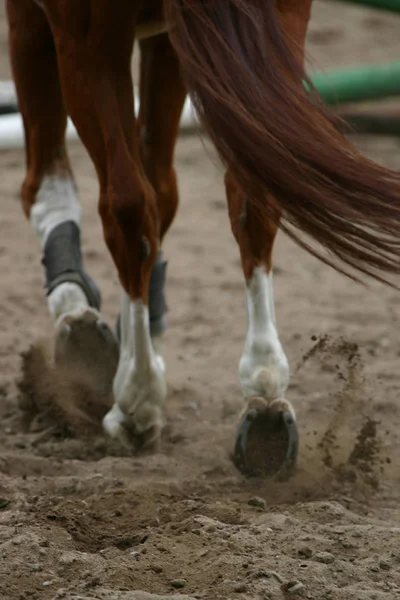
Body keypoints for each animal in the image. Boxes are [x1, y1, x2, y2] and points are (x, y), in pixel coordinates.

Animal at [5, 0, 400, 478]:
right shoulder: (169, 43)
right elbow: (163, 189)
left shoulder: (31, 19)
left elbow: (48, 186)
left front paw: (77, 314)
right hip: (279, 22)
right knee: (251, 191)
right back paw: (264, 394)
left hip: (89, 42)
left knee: (126, 206)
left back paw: (137, 399)